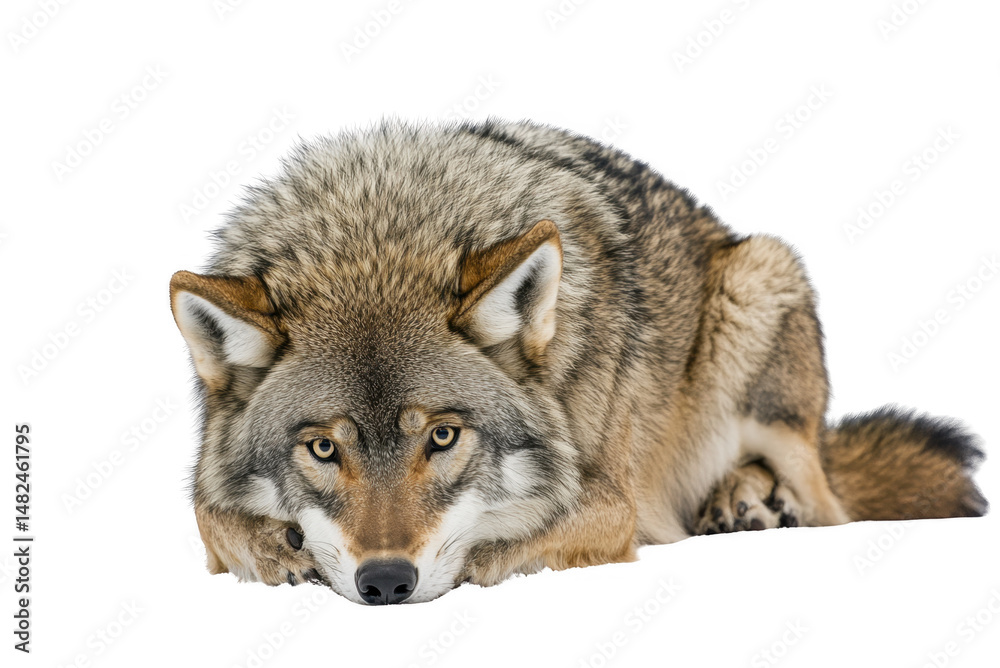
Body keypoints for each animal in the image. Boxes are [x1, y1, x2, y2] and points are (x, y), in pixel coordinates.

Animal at [169, 119, 987, 605]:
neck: (382, 224)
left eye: (443, 437)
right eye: (321, 449)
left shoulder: (612, 503)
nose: (387, 581)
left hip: (760, 287)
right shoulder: (206, 490)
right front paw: (277, 548)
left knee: (827, 504)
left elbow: (501, 543)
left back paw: (748, 501)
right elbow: (210, 516)